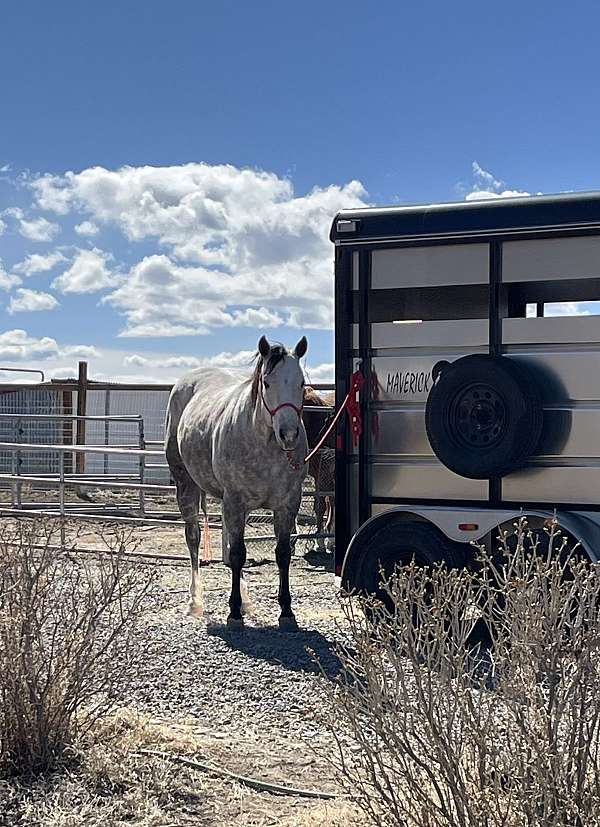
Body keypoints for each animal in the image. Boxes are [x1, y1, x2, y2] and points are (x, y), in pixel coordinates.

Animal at [165, 335, 308, 629]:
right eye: (267, 383)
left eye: (301, 383)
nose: (289, 434)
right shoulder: (235, 500)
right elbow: (238, 554)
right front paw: (233, 612)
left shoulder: (288, 504)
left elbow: (282, 554)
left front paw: (286, 611)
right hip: (186, 485)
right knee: (193, 538)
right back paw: (195, 602)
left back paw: (245, 601)